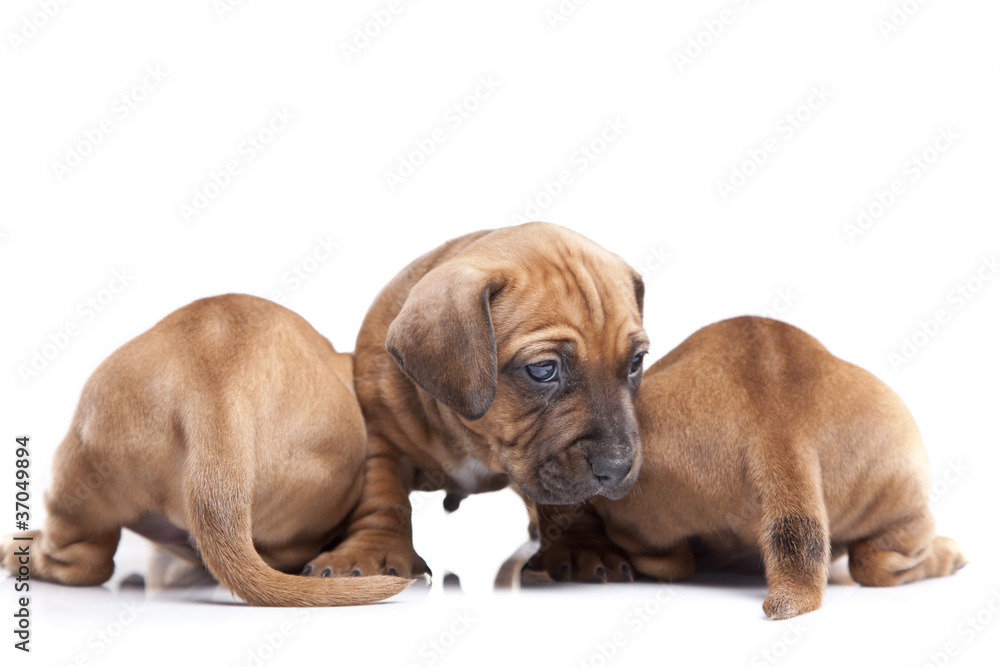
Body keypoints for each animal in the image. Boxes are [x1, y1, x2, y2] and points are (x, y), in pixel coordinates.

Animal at [300, 222, 648, 576]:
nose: (617, 468)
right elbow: (382, 493)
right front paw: (369, 551)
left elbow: (568, 504)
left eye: (636, 362)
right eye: (543, 369)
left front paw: (582, 545)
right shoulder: (381, 434)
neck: (471, 438)